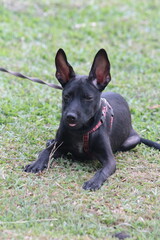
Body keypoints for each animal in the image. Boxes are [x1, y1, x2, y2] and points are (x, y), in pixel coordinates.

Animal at [24, 49, 160, 191]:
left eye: (88, 98)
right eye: (66, 96)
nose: (70, 116)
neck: (80, 131)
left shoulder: (110, 161)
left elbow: (102, 171)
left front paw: (93, 182)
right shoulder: (58, 145)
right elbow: (45, 152)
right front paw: (36, 164)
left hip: (133, 140)